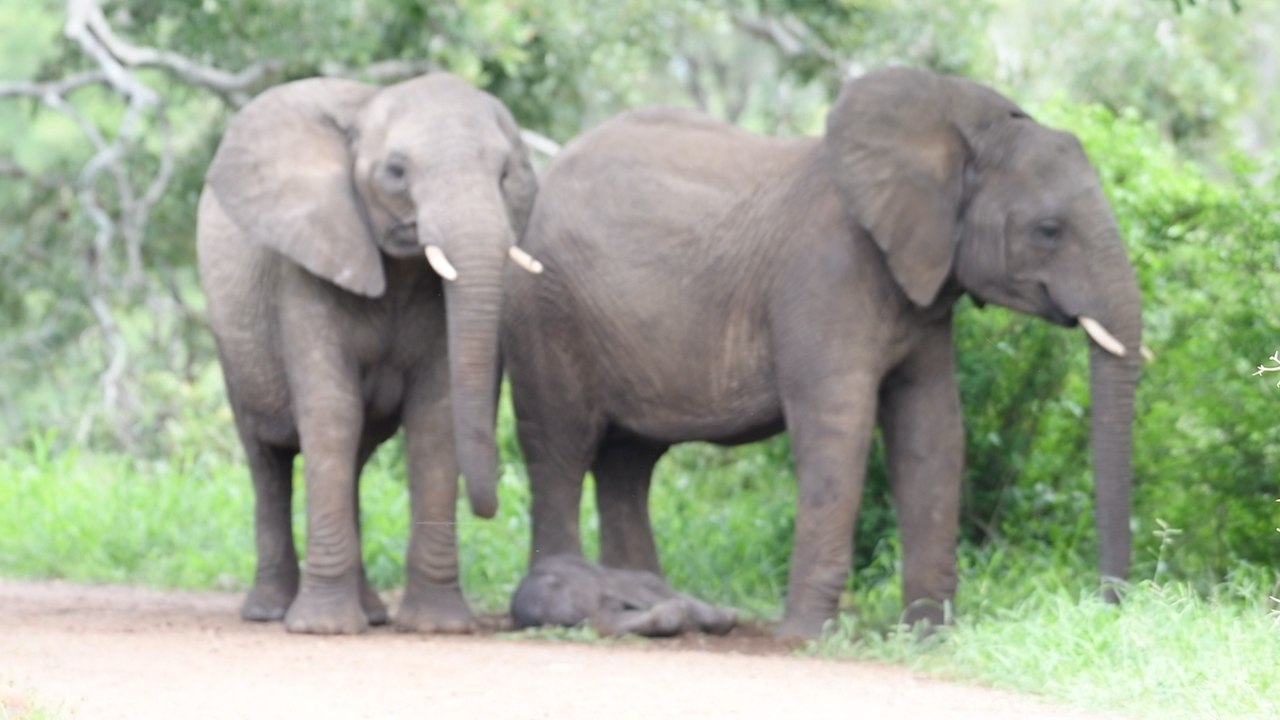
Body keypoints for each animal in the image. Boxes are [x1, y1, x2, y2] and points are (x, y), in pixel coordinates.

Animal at [197, 72, 540, 634]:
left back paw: (373, 614)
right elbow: (331, 411)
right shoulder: (306, 263)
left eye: (505, 173)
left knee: (354, 456)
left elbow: (435, 417)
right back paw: (270, 610)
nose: (490, 509)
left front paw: (438, 627)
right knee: (266, 460)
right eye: (396, 172)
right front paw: (323, 630)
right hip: (231, 338)